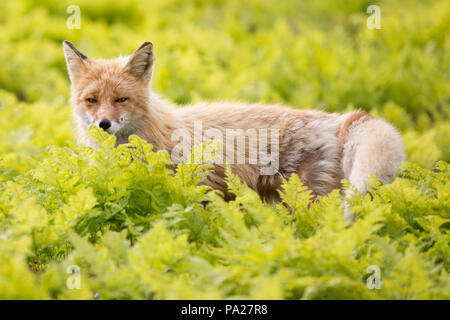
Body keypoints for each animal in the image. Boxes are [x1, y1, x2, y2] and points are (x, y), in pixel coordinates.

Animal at [62, 41, 404, 219]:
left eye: (121, 99)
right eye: (92, 101)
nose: (103, 124)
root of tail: (337, 118)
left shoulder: (194, 192)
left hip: (309, 203)